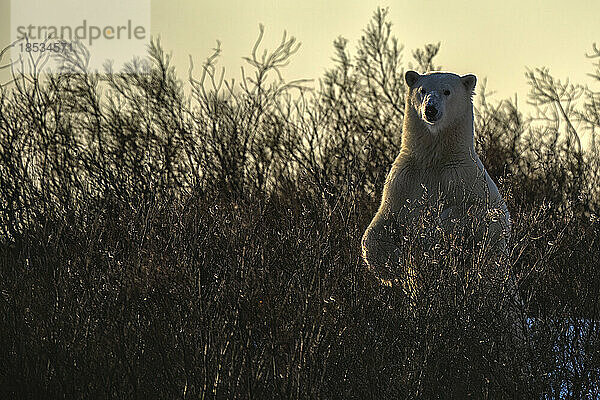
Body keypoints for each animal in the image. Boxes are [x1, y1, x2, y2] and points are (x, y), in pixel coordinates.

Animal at [360, 71, 510, 288]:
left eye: (446, 91)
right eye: (422, 90)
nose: (430, 109)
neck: (434, 159)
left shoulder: (463, 178)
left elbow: (483, 215)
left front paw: (435, 233)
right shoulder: (404, 180)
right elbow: (381, 222)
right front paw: (392, 263)